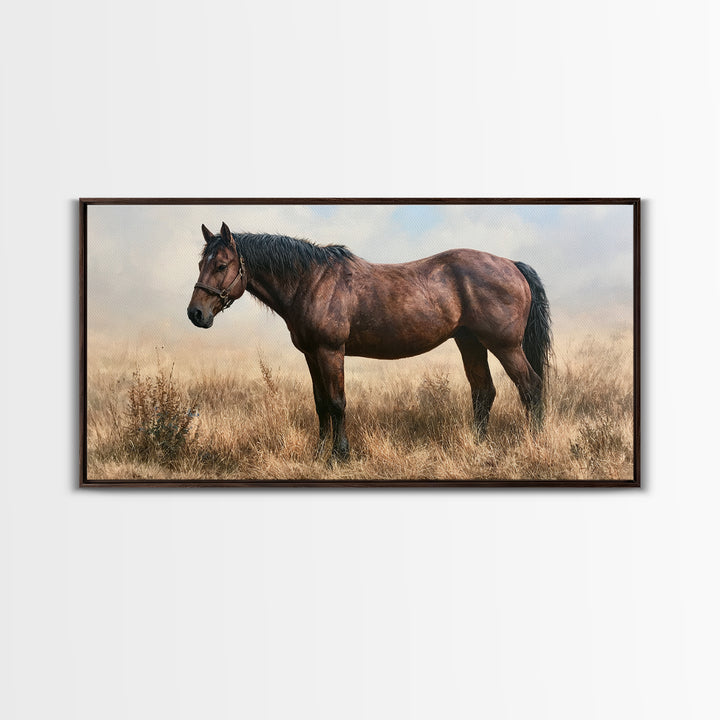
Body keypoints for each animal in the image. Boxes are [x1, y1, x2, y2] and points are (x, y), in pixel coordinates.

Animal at [187, 222, 552, 461]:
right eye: (200, 263)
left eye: (221, 265)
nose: (196, 313)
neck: (311, 281)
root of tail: (512, 265)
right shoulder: (311, 355)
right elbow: (321, 404)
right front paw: (319, 454)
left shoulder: (330, 352)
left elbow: (337, 403)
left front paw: (340, 456)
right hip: (471, 343)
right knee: (483, 392)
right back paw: (477, 445)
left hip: (505, 346)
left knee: (530, 386)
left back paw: (532, 443)